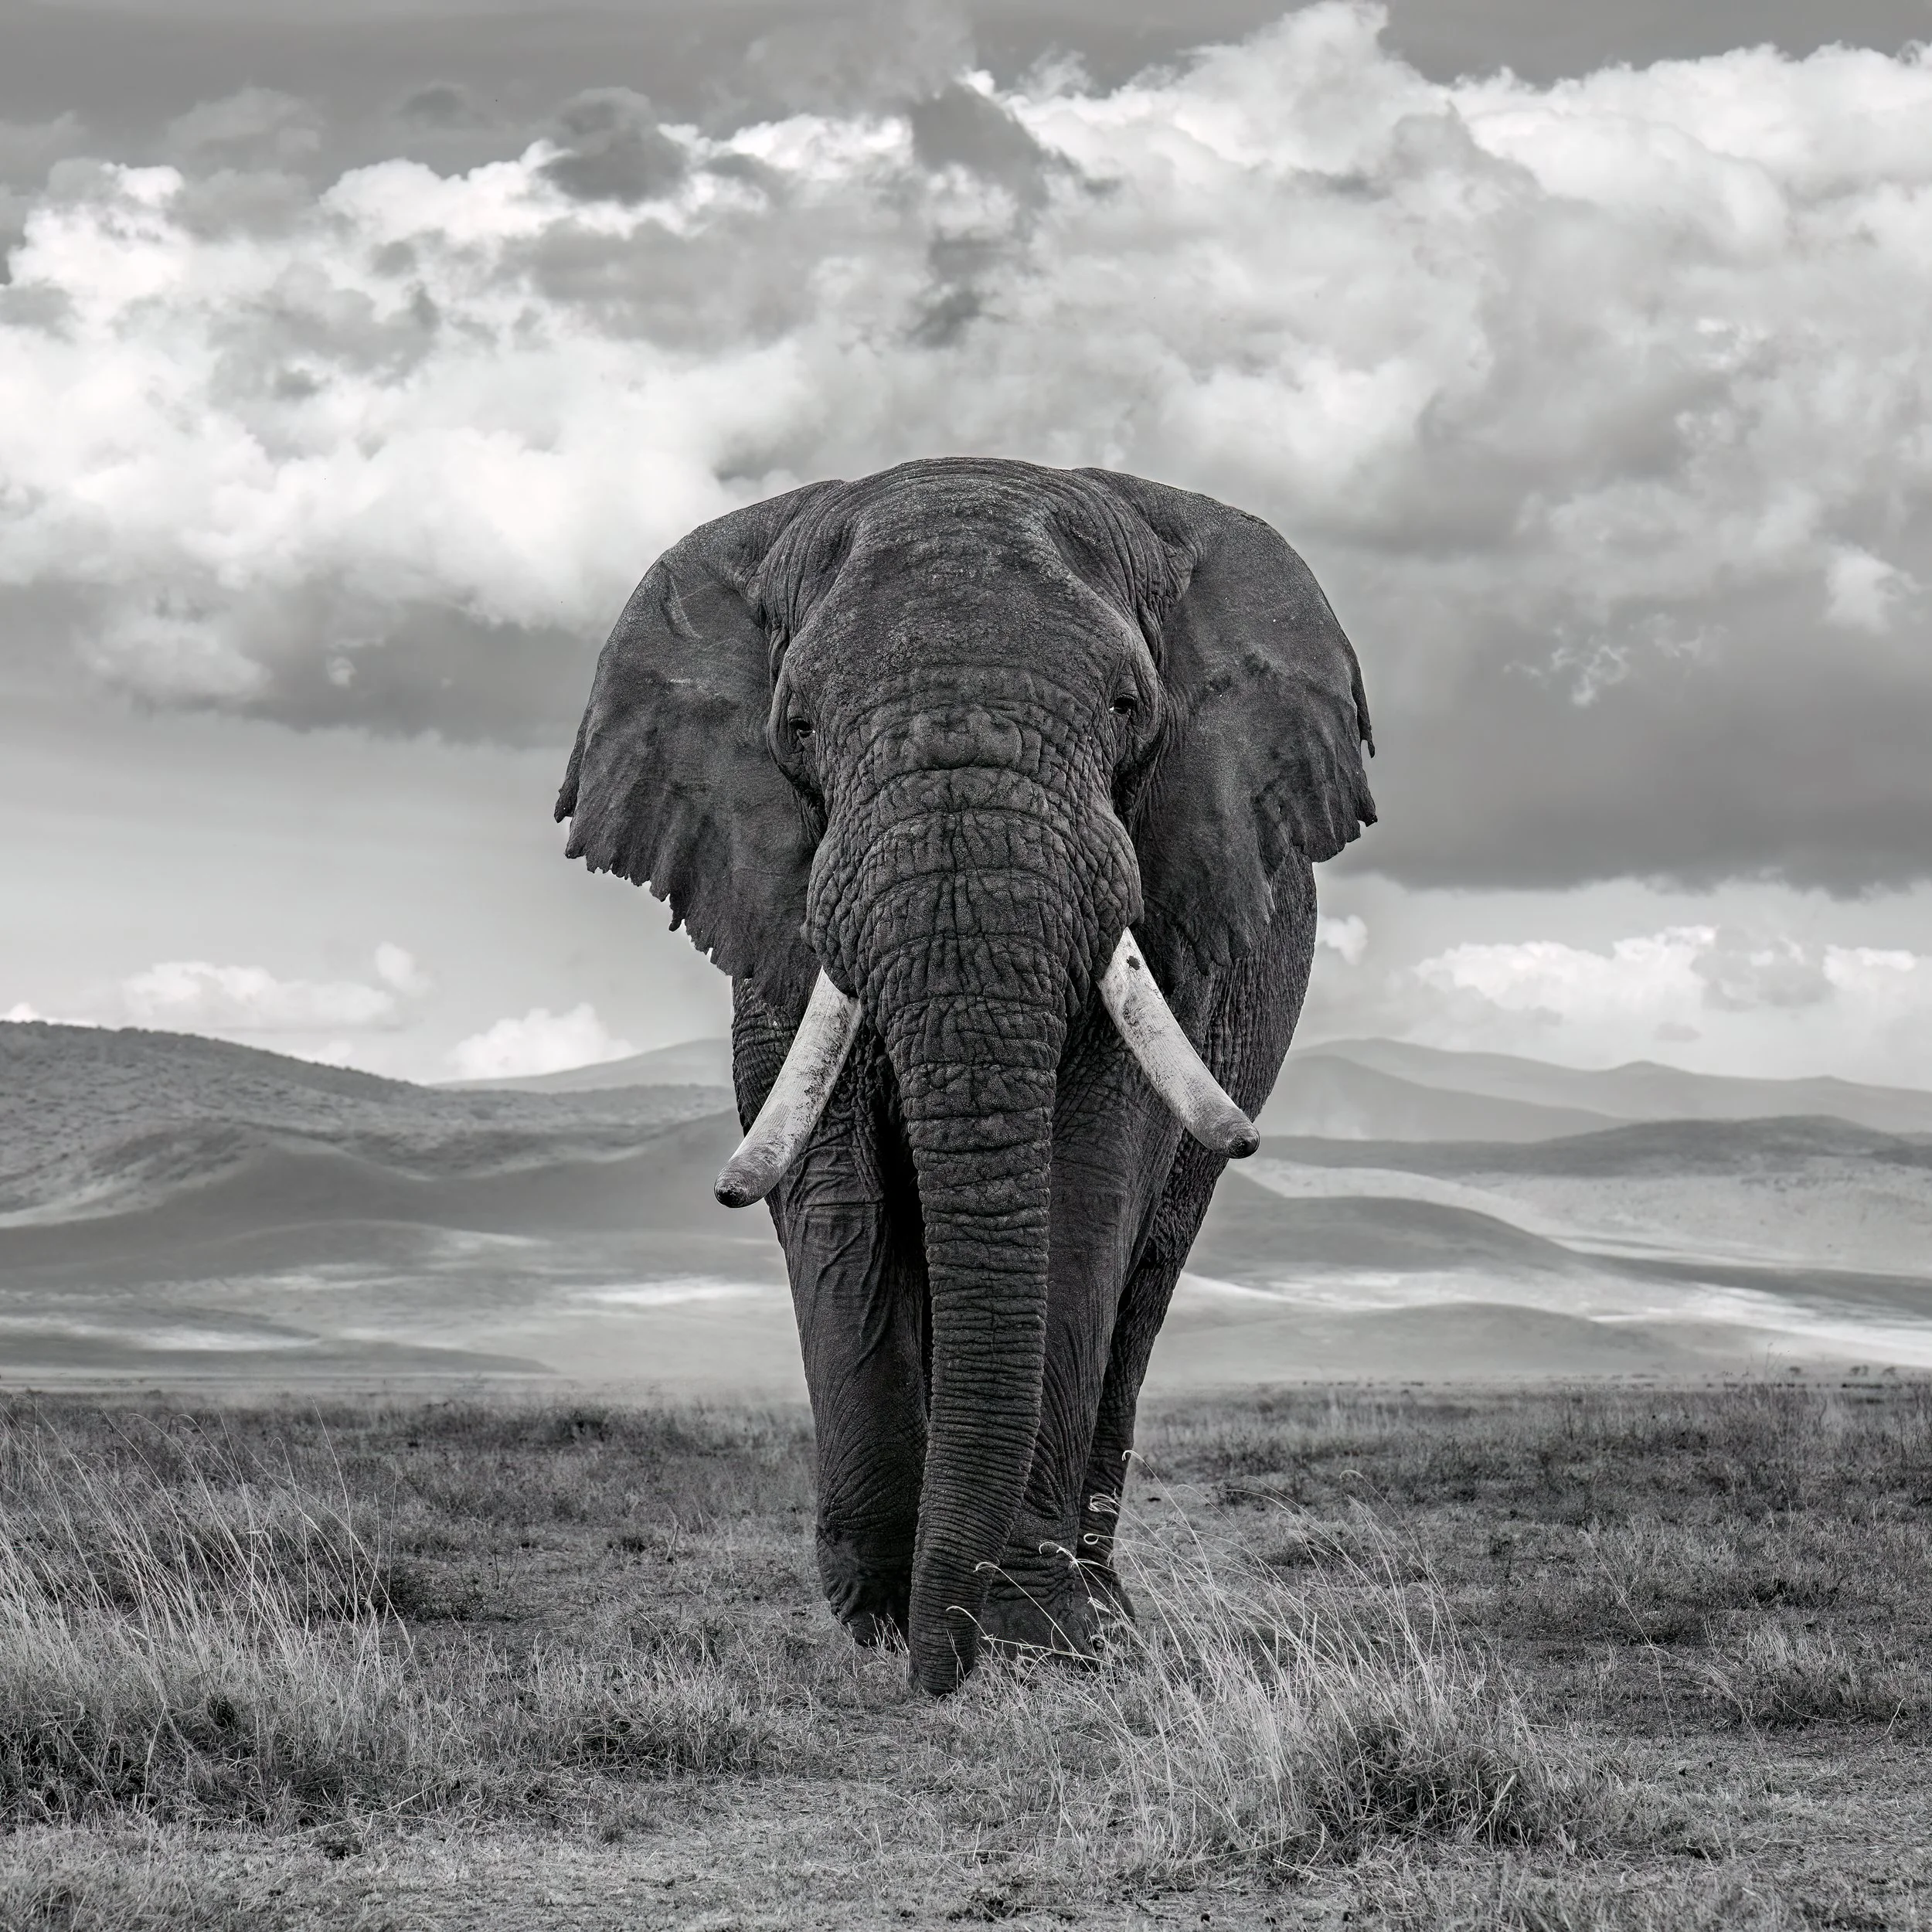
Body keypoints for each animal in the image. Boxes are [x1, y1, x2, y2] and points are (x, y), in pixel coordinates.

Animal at [556, 456, 1374, 1694]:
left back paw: (1097, 1611)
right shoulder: (778, 906)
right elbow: (834, 1191)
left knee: (1147, 1279)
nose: (939, 1672)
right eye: (798, 724)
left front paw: (1029, 1633)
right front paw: (881, 1619)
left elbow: (1084, 1187)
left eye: (1127, 707)